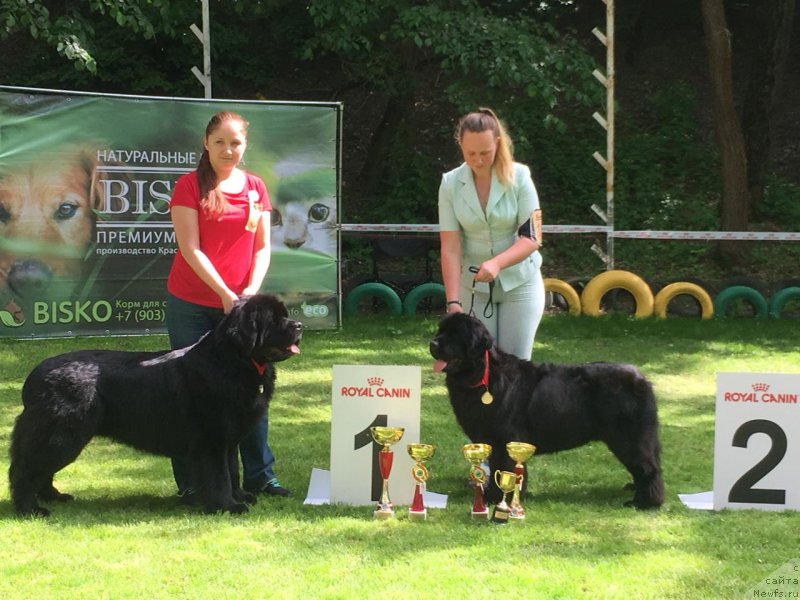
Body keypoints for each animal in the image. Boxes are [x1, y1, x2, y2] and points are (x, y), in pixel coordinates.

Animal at [8, 292, 304, 512]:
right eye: (275, 320)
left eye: (285, 316)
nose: (299, 325)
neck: (233, 361)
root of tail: (34, 377)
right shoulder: (212, 440)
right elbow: (220, 475)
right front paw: (228, 506)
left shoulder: (229, 439)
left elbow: (233, 471)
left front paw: (240, 496)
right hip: (61, 434)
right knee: (26, 469)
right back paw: (30, 508)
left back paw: (54, 496)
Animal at [432, 312, 664, 508]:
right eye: (440, 331)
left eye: (455, 335)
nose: (432, 343)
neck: (482, 375)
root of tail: (641, 379)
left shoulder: (504, 439)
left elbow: (504, 467)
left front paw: (497, 499)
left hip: (629, 438)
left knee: (648, 468)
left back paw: (645, 503)